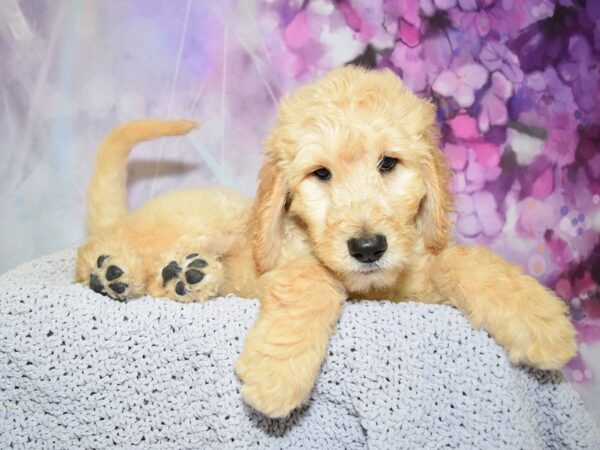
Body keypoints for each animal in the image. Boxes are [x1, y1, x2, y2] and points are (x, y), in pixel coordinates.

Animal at [75, 67, 576, 418]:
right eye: (320, 174)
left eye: (388, 164)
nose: (368, 248)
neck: (369, 289)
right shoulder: (284, 267)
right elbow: (310, 281)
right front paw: (277, 374)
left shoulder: (418, 281)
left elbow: (465, 260)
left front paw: (540, 321)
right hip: (197, 218)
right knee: (107, 245)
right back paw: (113, 269)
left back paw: (187, 275)